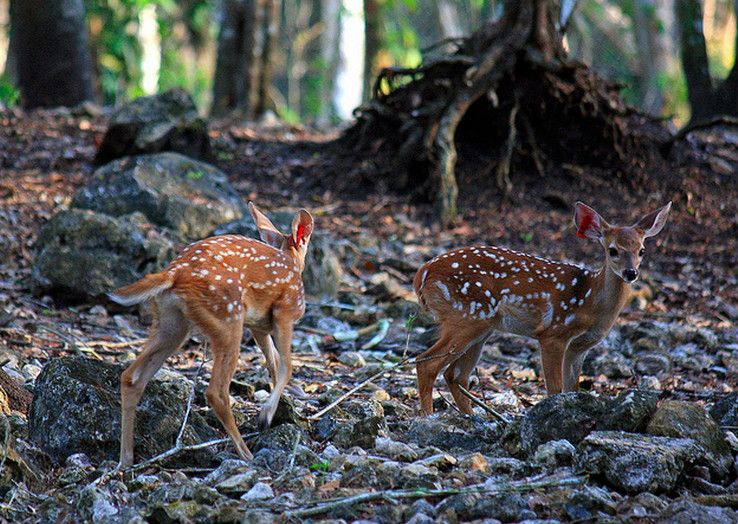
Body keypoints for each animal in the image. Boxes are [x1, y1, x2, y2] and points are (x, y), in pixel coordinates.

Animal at [109, 203, 314, 468]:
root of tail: (174, 272)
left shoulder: (258, 325)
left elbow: (273, 363)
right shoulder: (284, 312)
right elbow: (287, 366)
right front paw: (265, 415)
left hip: (172, 323)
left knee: (131, 377)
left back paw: (125, 460)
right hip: (228, 316)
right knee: (216, 392)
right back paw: (247, 454)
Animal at [412, 201, 668, 414]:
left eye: (641, 250)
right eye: (612, 250)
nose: (631, 272)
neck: (590, 301)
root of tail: (423, 272)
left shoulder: (581, 346)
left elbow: (572, 388)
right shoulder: (553, 333)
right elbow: (555, 389)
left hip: (482, 327)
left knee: (455, 374)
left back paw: (471, 418)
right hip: (466, 316)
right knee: (427, 363)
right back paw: (428, 416)